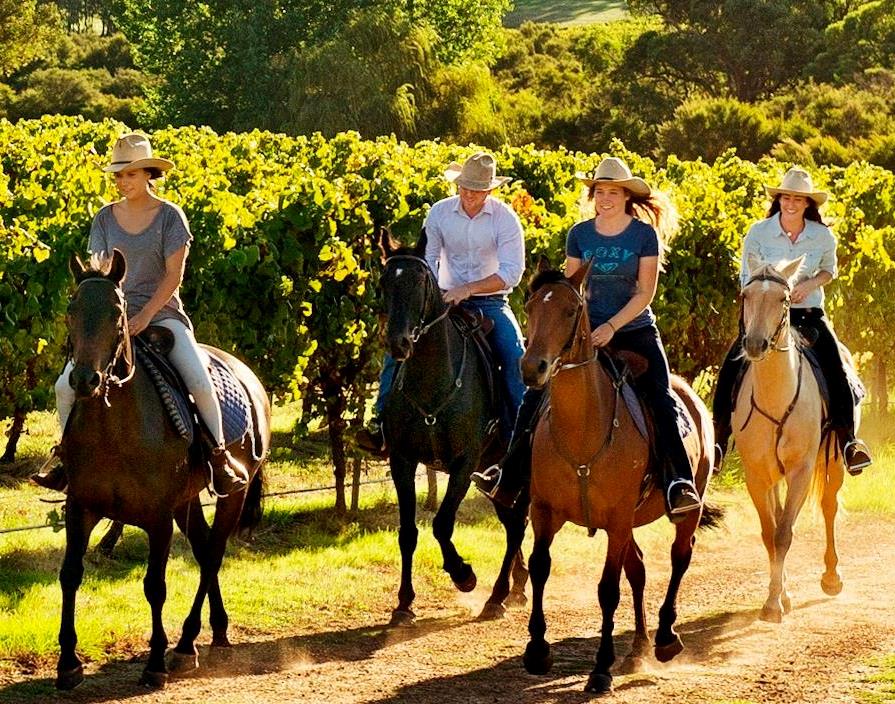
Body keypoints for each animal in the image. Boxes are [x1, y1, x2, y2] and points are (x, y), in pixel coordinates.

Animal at [54, 250, 272, 692]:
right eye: (71, 309)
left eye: (117, 313)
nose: (85, 379)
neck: (115, 426)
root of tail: (247, 375)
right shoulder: (80, 507)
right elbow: (71, 574)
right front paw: (67, 663)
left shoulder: (157, 518)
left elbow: (155, 585)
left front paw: (154, 663)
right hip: (186, 504)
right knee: (205, 549)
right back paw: (216, 631)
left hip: (233, 496)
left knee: (213, 555)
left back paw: (186, 644)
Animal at [380, 228, 532, 624]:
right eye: (384, 280)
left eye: (421, 281)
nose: (399, 343)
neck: (433, 382)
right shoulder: (402, 460)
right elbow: (408, 532)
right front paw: (403, 604)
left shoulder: (464, 464)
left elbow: (442, 524)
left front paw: (463, 575)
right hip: (494, 479)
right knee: (512, 522)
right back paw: (517, 586)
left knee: (517, 526)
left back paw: (497, 597)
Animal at [520, 262, 712, 696]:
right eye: (530, 307)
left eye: (571, 311)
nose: (532, 368)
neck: (583, 430)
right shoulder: (544, 511)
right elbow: (540, 566)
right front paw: (537, 650)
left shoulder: (618, 519)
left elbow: (607, 590)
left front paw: (600, 669)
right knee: (638, 568)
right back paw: (638, 647)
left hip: (682, 509)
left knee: (680, 556)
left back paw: (665, 638)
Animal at [736, 256, 848, 620]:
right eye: (746, 295)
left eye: (784, 300)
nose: (754, 344)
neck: (776, 397)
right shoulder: (757, 475)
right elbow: (770, 532)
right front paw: (777, 598)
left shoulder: (800, 470)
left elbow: (784, 533)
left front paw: (774, 604)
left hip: (835, 461)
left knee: (829, 506)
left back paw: (831, 578)